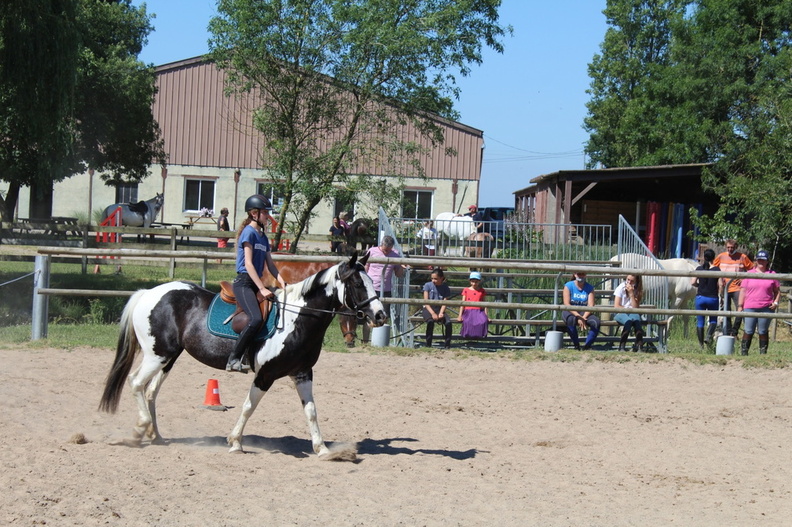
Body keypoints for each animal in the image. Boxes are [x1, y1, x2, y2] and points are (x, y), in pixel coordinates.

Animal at [97, 253, 388, 458]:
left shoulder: (303, 373)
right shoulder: (266, 375)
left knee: (150, 391)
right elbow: (249, 406)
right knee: (136, 382)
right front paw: (235, 442)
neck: (297, 319)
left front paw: (323, 449)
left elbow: (311, 411)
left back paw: (154, 435)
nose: (380, 315)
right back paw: (140, 429)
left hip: (169, 358)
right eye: (356, 283)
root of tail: (149, 292)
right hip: (156, 355)